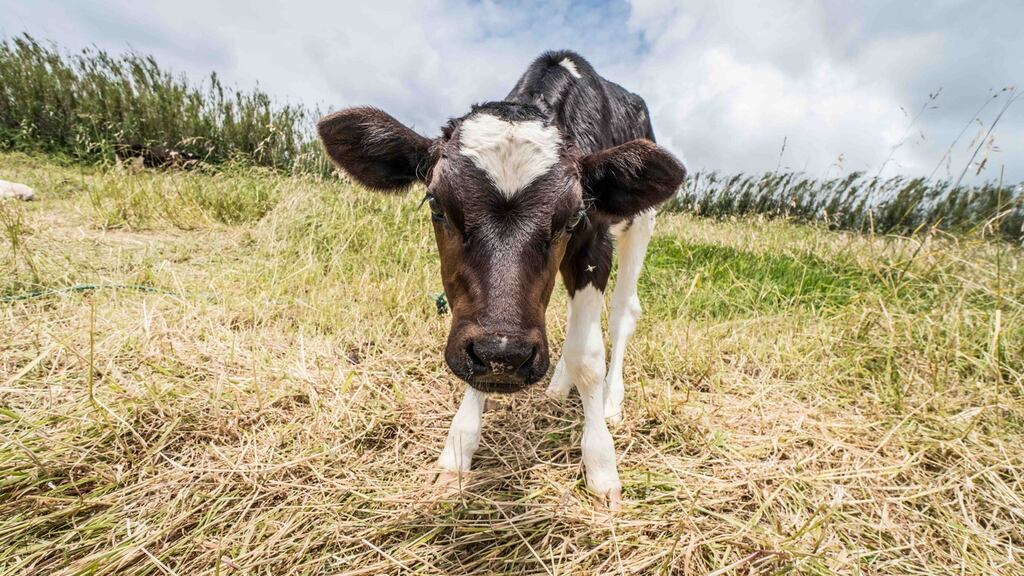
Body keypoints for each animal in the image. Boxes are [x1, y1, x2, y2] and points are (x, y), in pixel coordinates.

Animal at [317, 50, 686, 509]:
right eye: (436, 203)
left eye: (572, 217)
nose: (504, 353)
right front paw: (457, 450)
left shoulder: (594, 243)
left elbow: (587, 356)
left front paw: (601, 464)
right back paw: (558, 386)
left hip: (642, 222)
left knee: (622, 312)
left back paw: (611, 400)